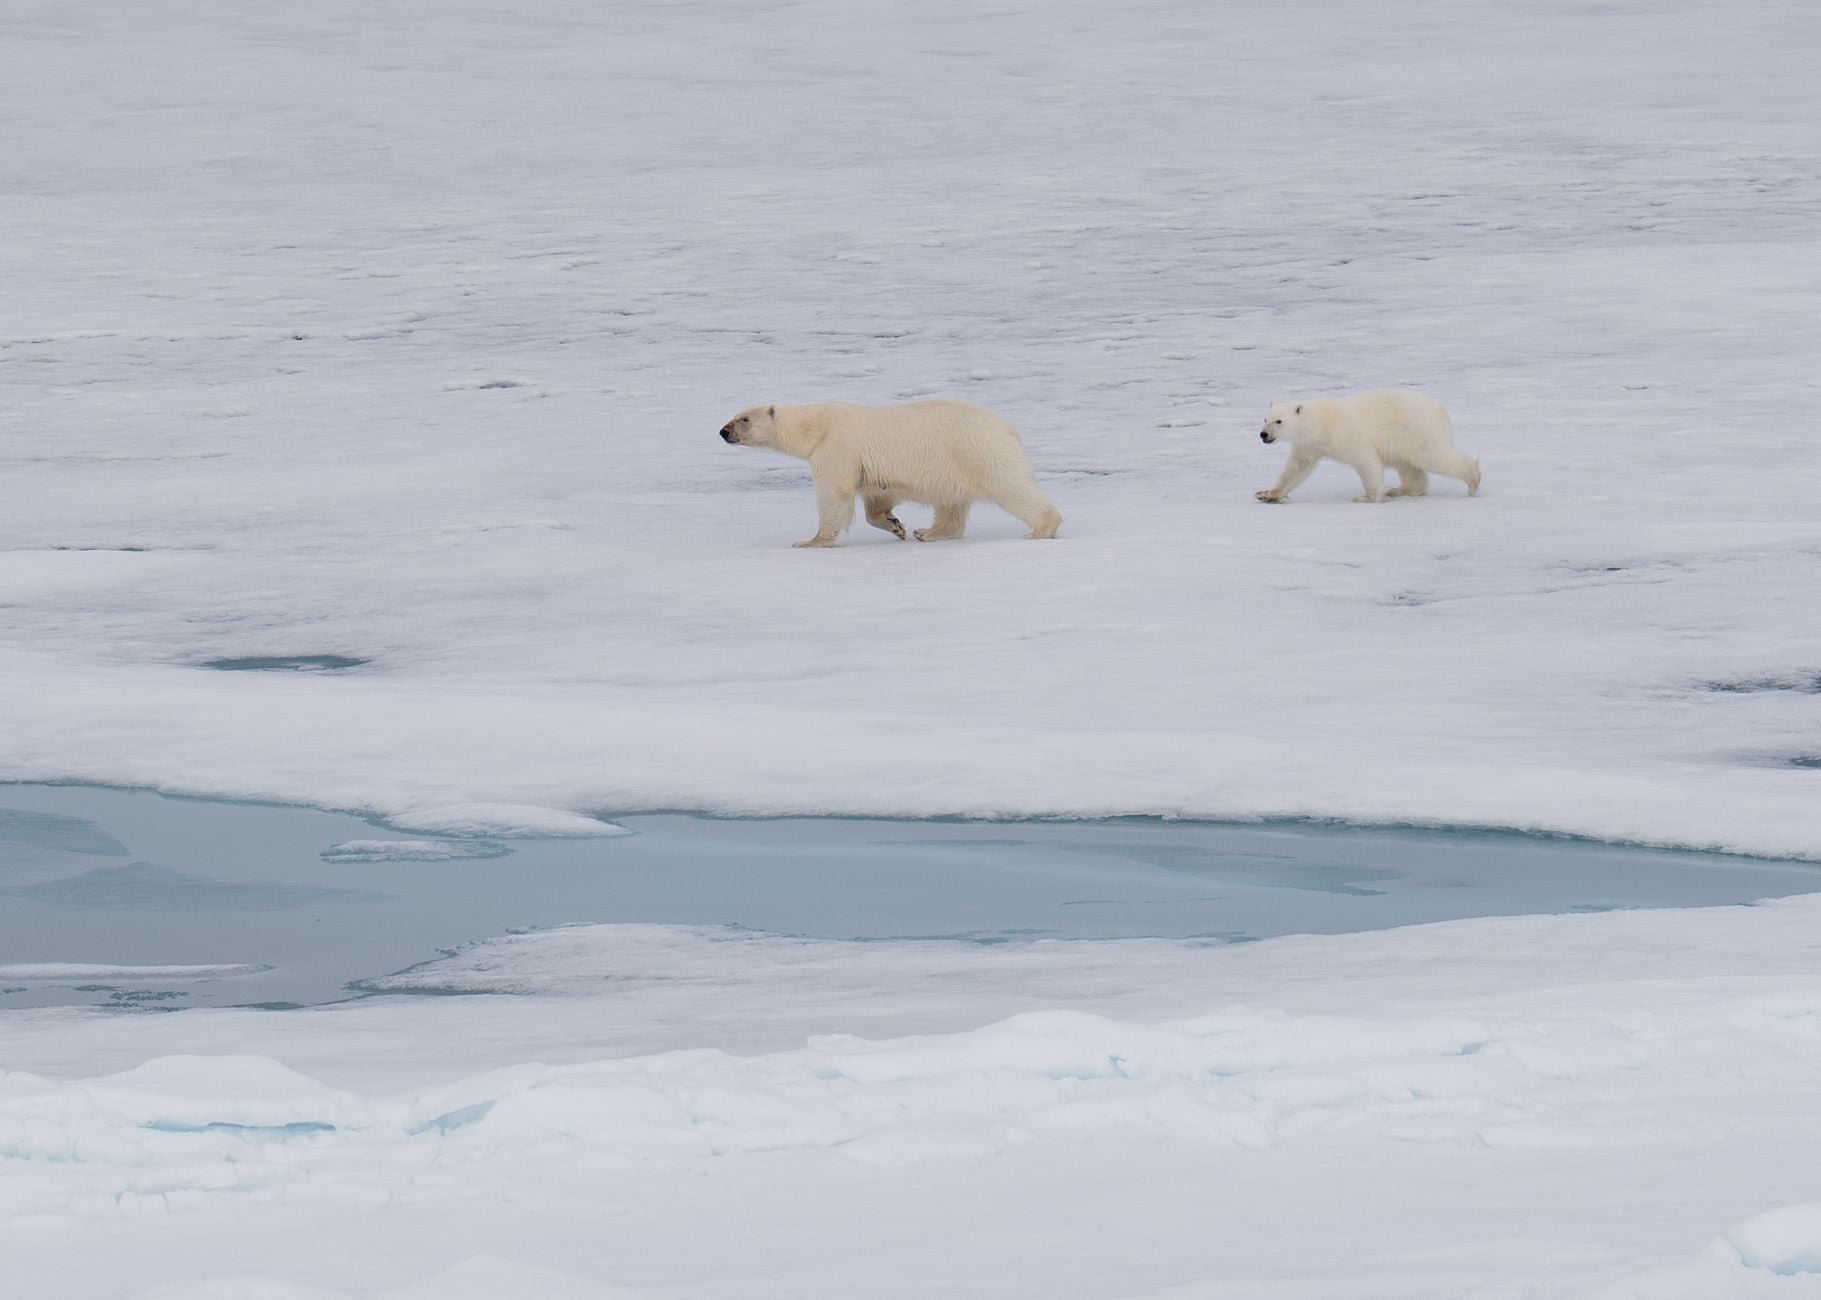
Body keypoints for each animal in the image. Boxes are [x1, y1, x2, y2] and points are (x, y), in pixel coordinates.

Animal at [719, 400, 1063, 547]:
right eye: (734, 415)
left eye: (744, 419)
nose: (723, 431)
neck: (816, 426)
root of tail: (1008, 428)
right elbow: (877, 497)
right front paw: (896, 525)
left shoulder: (837, 447)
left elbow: (835, 494)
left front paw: (812, 541)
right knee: (952, 504)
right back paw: (928, 532)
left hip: (977, 450)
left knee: (1010, 487)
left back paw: (1041, 528)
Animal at [1255, 389, 1481, 504]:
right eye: (1265, 419)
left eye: (1279, 421)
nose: (1263, 435)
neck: (1319, 423)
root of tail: (1440, 408)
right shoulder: (1308, 445)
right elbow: (1297, 467)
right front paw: (1267, 494)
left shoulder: (1346, 433)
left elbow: (1365, 459)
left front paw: (1367, 497)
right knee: (1409, 466)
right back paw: (1398, 490)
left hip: (1416, 429)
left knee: (1432, 456)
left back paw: (1473, 481)